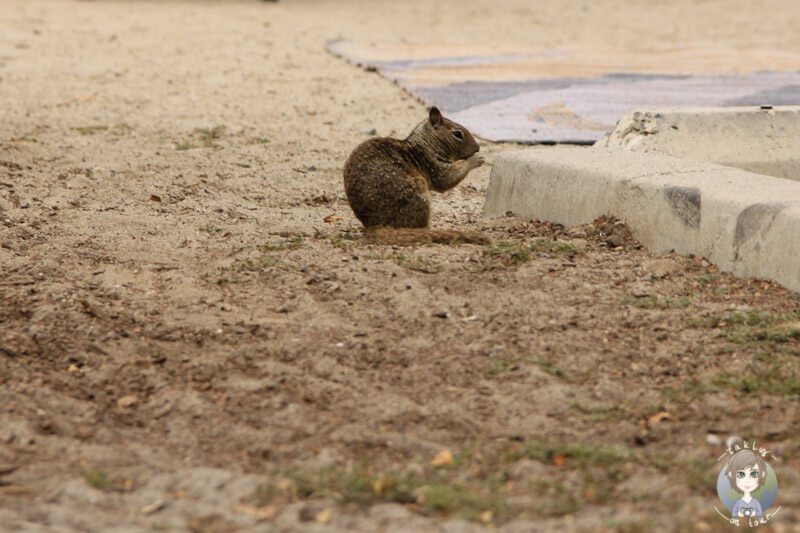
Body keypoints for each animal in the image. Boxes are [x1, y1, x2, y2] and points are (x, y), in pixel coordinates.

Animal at [342, 107, 488, 244]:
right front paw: (476, 159)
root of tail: (376, 226)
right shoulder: (435, 166)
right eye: (457, 133)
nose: (477, 147)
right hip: (419, 194)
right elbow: (447, 179)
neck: (427, 143)